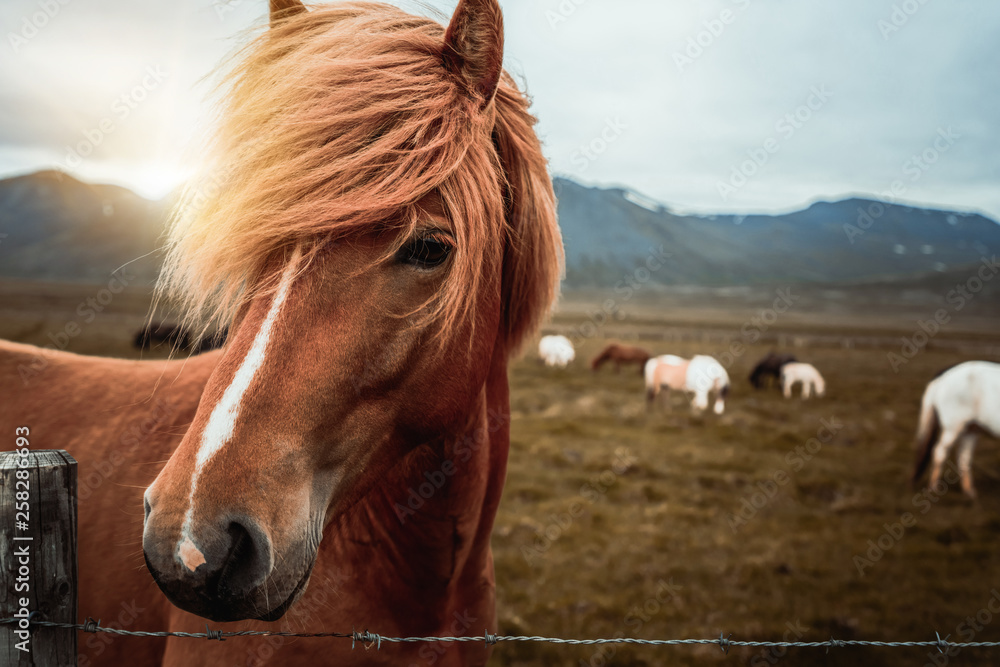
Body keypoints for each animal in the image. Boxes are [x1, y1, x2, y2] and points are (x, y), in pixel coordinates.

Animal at [916, 362, 1000, 498]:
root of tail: (943, 376)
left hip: (971, 430)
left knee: (964, 458)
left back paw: (969, 492)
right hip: (953, 428)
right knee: (939, 452)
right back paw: (934, 488)